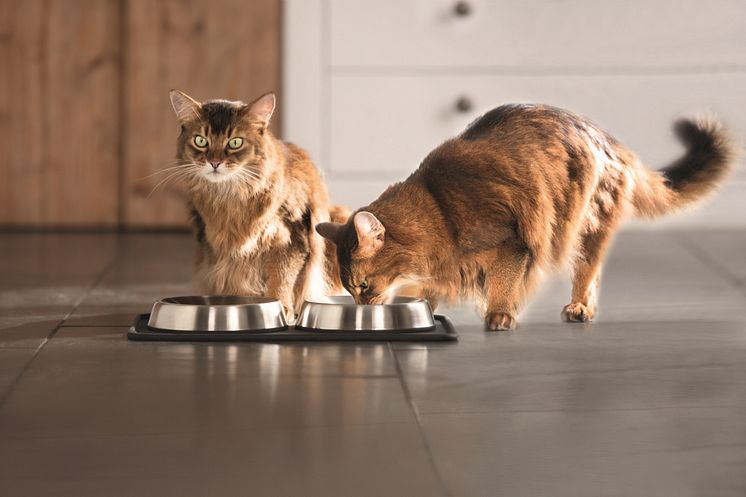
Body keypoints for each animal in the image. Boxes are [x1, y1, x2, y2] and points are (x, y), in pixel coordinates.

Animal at [169, 89, 346, 318]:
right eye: (201, 140)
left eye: (235, 142)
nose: (214, 163)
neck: (230, 197)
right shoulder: (222, 250)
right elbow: (233, 280)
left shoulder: (291, 236)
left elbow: (281, 278)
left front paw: (282, 309)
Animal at [312, 103, 732, 330]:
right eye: (349, 289)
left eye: (362, 285)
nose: (362, 308)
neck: (438, 209)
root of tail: (609, 141)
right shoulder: (449, 265)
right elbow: (428, 290)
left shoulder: (512, 241)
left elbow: (503, 283)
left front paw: (499, 315)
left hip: (585, 223)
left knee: (588, 271)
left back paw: (580, 308)